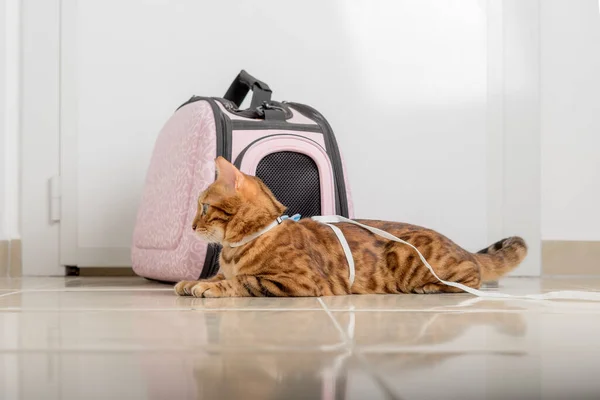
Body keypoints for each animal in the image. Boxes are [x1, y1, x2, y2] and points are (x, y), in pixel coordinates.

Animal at [173, 156, 524, 296]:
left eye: (204, 207)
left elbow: (242, 281)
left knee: (472, 278)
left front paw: (209, 287)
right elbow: (219, 275)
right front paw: (193, 281)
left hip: (414, 258)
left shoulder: (300, 282)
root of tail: (458, 245)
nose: (191, 226)